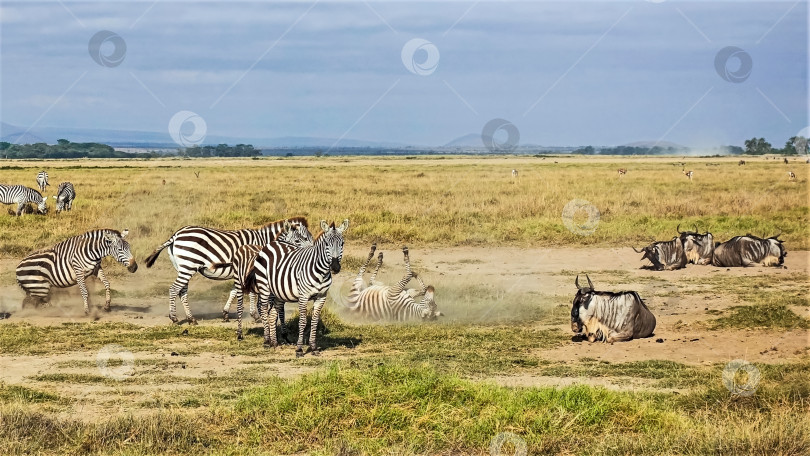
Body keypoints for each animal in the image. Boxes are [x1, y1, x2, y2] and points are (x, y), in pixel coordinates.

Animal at [144, 217, 310, 324]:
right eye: (298, 240)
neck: (263, 243)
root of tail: (176, 234)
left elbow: (234, 291)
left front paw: (225, 314)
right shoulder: (252, 269)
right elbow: (251, 293)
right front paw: (255, 315)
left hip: (183, 267)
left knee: (182, 291)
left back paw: (191, 319)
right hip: (187, 266)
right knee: (174, 289)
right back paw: (174, 317)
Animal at [246, 218, 348, 356]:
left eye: (342, 243)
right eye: (327, 244)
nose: (335, 267)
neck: (321, 271)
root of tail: (271, 244)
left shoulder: (321, 297)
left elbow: (314, 321)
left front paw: (313, 348)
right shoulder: (303, 296)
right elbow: (303, 321)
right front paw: (299, 349)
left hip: (277, 292)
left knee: (272, 313)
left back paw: (274, 343)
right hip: (264, 287)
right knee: (263, 309)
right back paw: (267, 341)